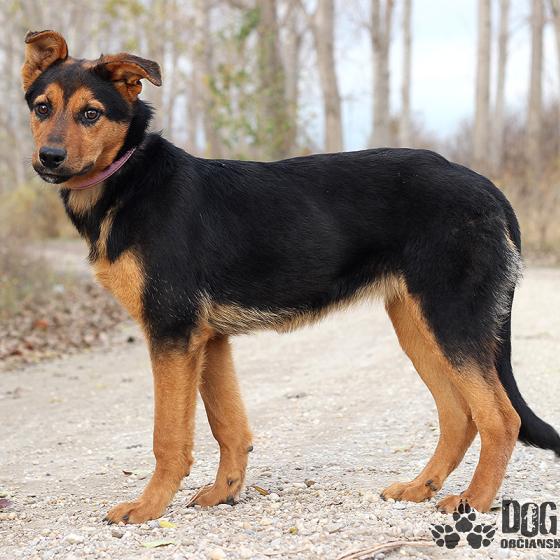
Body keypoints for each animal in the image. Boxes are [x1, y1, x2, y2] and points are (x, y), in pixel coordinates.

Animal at [22, 30, 560, 524]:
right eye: (42, 108)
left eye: (91, 114)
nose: (48, 158)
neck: (128, 178)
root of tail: (488, 188)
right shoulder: (208, 340)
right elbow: (229, 427)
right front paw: (224, 493)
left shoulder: (172, 334)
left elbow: (169, 438)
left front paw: (148, 507)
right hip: (418, 326)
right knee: (458, 415)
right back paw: (420, 487)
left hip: (452, 322)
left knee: (501, 418)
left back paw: (474, 503)